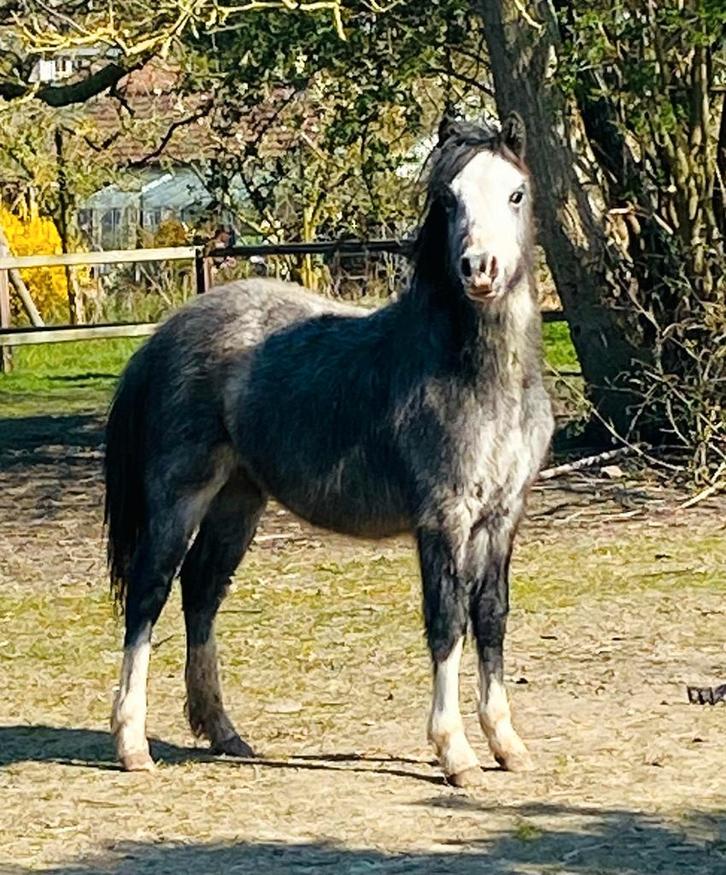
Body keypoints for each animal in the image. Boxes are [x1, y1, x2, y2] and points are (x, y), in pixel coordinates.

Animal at [105, 113, 554, 788]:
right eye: (448, 199)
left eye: (516, 193)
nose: (480, 268)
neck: (477, 376)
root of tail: (164, 336)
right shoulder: (443, 519)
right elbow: (447, 622)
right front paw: (455, 753)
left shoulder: (502, 515)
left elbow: (491, 617)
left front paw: (507, 743)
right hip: (179, 498)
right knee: (149, 595)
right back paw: (133, 745)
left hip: (239, 501)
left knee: (201, 593)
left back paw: (225, 733)